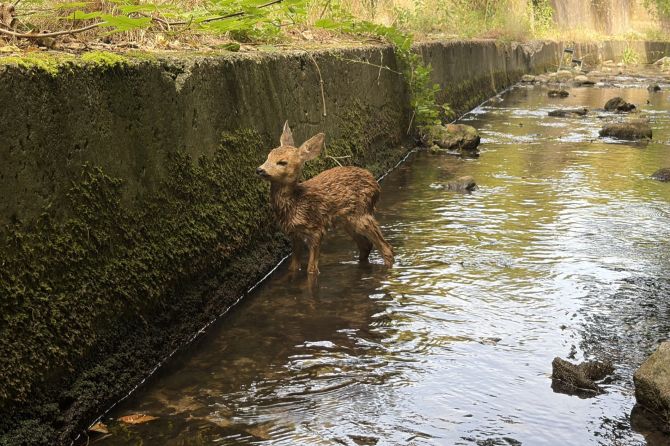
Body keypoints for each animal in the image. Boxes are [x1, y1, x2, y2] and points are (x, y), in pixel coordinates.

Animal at [256, 122, 395, 275]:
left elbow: (311, 269)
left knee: (386, 248)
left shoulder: (316, 228)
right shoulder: (294, 233)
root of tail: (375, 184)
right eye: (268, 156)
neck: (297, 202)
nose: (260, 170)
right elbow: (293, 267)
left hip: (362, 212)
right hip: (346, 219)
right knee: (366, 245)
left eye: (282, 162)